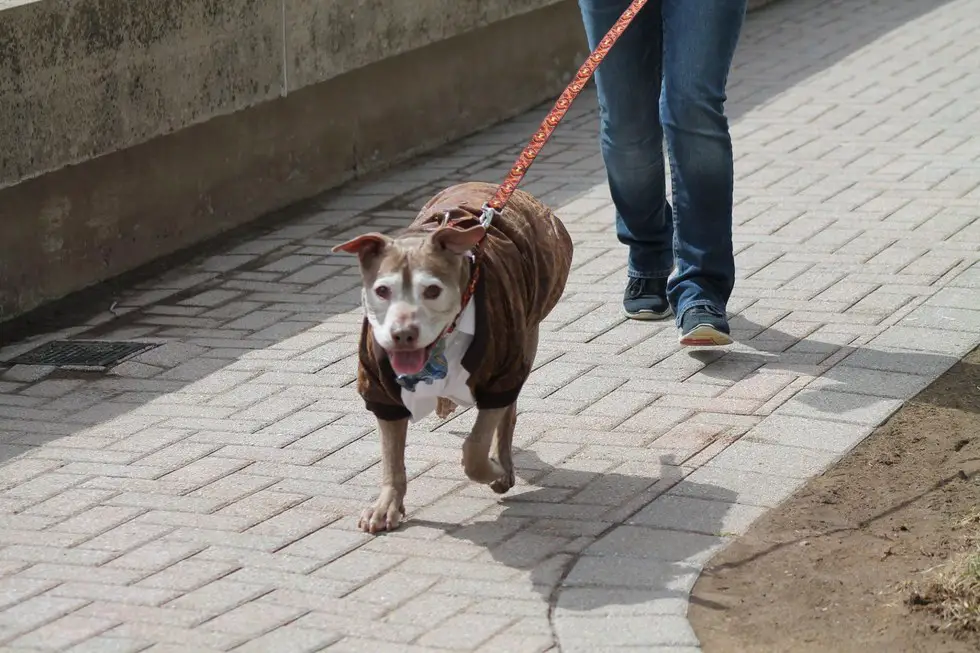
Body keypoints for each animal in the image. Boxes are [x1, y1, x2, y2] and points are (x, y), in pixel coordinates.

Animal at [334, 178, 576, 528]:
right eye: (382, 290)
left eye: (432, 290)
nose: (402, 334)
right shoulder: (379, 386)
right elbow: (392, 456)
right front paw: (386, 505)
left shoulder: (500, 377)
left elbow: (476, 446)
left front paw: (491, 470)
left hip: (526, 338)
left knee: (508, 414)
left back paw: (504, 465)